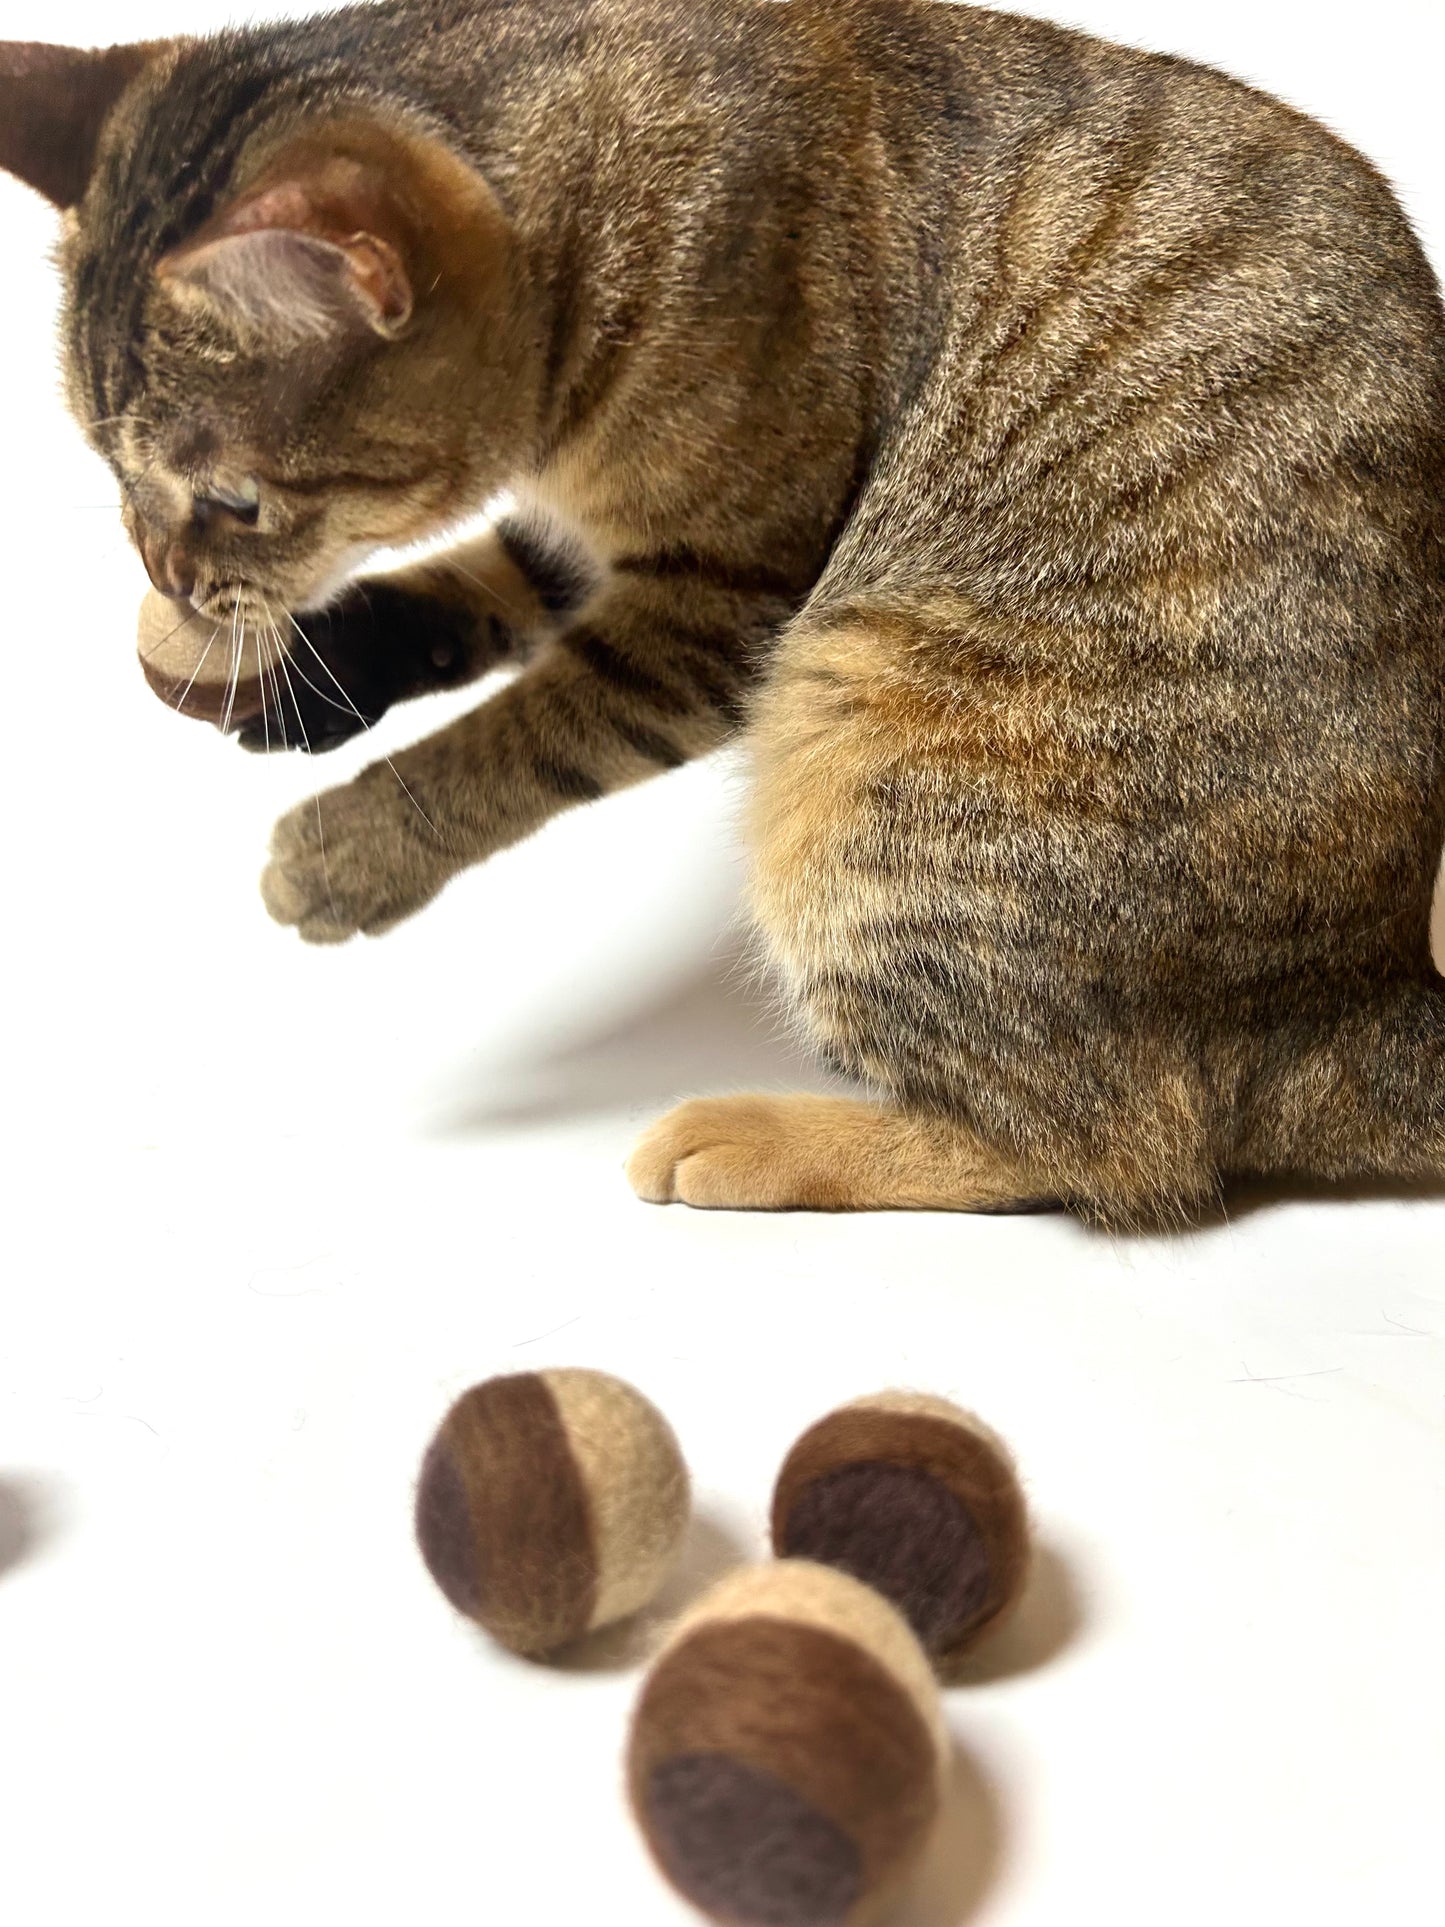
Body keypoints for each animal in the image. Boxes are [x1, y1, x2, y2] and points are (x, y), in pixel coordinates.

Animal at [2, 0, 1445, 1225]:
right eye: (105, 466)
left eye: (231, 499)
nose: (166, 576)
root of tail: (1359, 1000)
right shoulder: (587, 535)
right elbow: (475, 585)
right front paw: (303, 669)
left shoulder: (727, 593)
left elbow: (515, 738)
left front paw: (350, 845)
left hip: (859, 717)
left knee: (1121, 1142)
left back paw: (756, 1137)